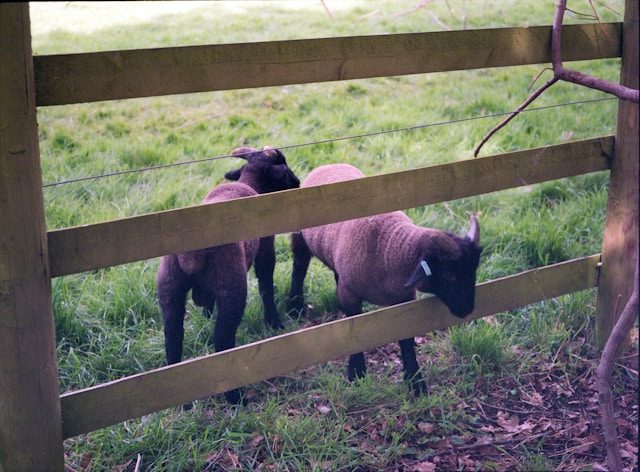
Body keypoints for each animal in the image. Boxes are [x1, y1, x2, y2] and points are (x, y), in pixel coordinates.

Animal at [157, 146, 300, 405]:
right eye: (284, 168)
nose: (298, 183)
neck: (251, 184)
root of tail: (192, 252)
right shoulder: (266, 246)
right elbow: (266, 284)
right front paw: (274, 321)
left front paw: (206, 313)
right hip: (232, 286)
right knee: (222, 340)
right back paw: (235, 397)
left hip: (169, 288)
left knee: (172, 337)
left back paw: (184, 402)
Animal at [288, 163, 482, 395]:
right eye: (450, 275)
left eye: (474, 271)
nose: (468, 310)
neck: (390, 248)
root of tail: (328, 165)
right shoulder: (350, 294)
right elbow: (354, 331)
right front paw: (356, 374)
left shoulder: (403, 299)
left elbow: (406, 339)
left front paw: (415, 383)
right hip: (300, 238)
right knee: (299, 268)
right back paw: (294, 307)